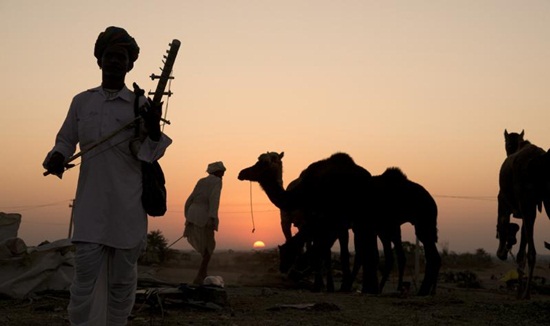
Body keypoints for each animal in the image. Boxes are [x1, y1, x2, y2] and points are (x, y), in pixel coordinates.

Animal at [498, 129, 550, 298]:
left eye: (506, 142)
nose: (508, 150)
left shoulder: (503, 200)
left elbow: (503, 225)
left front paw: (503, 251)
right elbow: (523, 239)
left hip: (527, 200)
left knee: (532, 252)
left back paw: (526, 292)